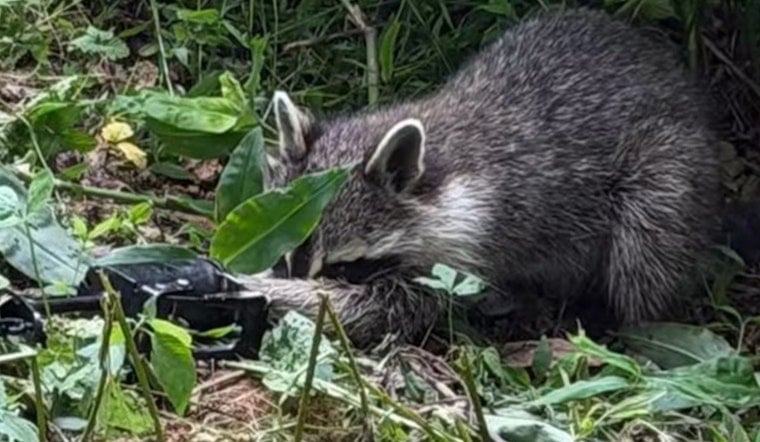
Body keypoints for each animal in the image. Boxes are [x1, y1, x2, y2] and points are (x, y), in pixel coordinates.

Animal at [242, 8, 726, 347]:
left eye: (345, 267)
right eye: (281, 252)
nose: (290, 278)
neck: (435, 175)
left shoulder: (456, 255)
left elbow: (376, 310)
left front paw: (271, 292)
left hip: (667, 169)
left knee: (645, 251)